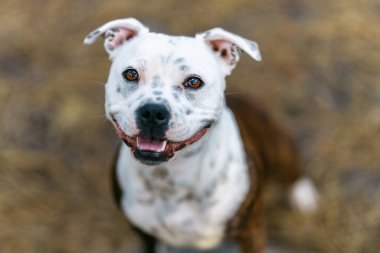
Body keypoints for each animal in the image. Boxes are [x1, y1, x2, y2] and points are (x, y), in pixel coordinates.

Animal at [83, 18, 318, 253]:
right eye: (131, 74)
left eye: (194, 82)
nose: (153, 112)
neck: (170, 179)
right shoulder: (146, 235)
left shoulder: (251, 229)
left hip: (279, 146)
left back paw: (304, 197)